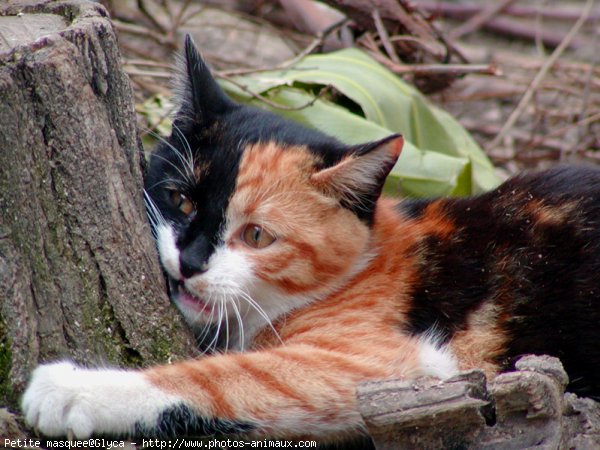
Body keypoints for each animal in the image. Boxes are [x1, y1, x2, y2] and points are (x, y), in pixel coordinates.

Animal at [23, 35, 600, 446]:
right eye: (179, 199)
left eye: (257, 235)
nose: (190, 261)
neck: (366, 264)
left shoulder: (404, 369)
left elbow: (221, 379)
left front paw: (71, 389)